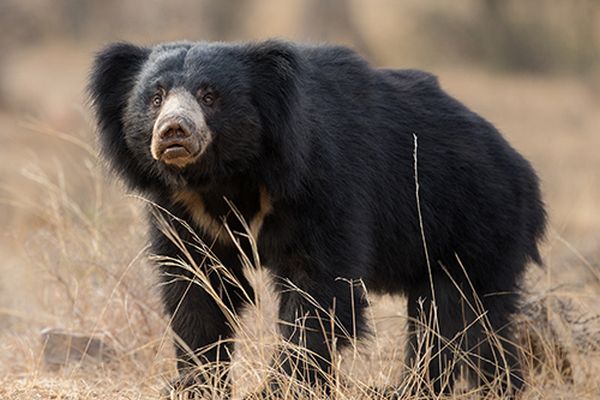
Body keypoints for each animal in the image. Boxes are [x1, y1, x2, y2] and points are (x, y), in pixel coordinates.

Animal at [89, 39, 544, 396]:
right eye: (155, 98)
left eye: (209, 96)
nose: (174, 132)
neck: (227, 177)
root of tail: (522, 170)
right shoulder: (184, 211)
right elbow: (197, 289)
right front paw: (194, 385)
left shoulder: (322, 185)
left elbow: (319, 291)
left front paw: (279, 388)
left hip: (476, 222)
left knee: (459, 316)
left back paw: (440, 388)